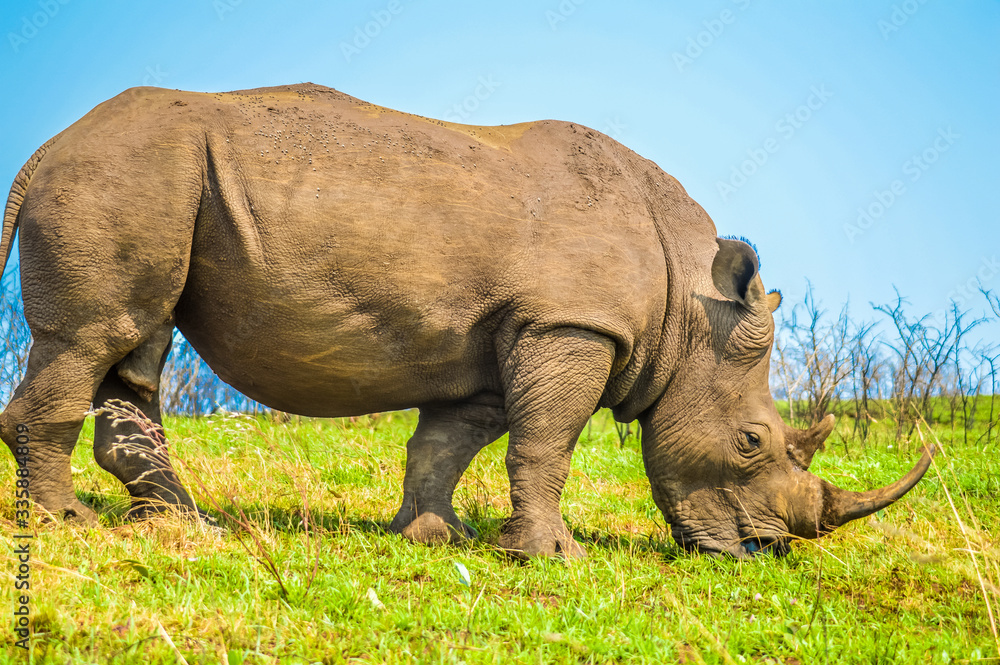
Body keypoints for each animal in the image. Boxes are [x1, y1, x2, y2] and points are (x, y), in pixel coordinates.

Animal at [0, 84, 932, 558]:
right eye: (751, 443)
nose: (770, 549)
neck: (686, 307)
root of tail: (43, 149)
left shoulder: (497, 344)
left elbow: (449, 443)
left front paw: (434, 534)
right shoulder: (571, 325)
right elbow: (547, 442)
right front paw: (551, 555)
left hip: (153, 177)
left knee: (135, 342)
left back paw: (179, 523)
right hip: (125, 173)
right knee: (94, 337)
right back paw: (68, 524)